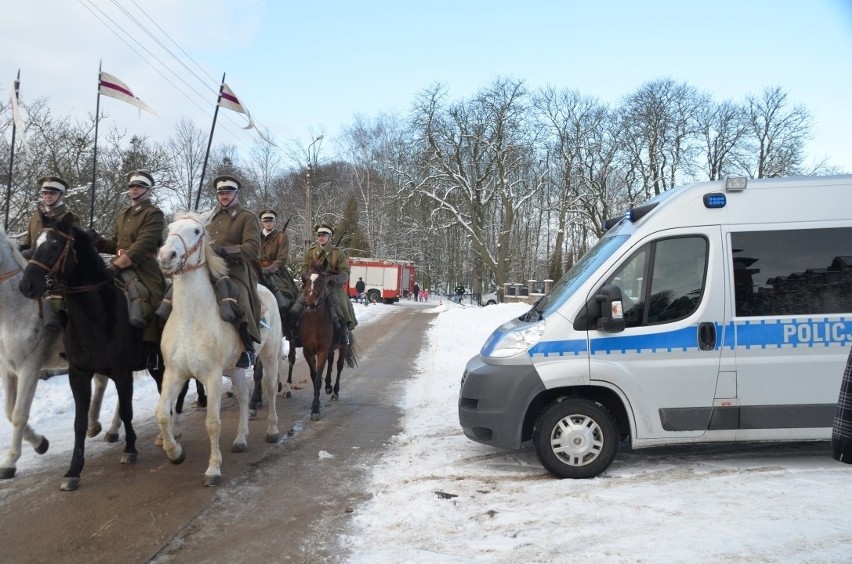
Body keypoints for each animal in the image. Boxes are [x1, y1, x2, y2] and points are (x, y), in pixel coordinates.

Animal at [19, 214, 148, 492]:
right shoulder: (78, 373)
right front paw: (73, 470)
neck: (95, 314)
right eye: (34, 244)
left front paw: (130, 448)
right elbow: (78, 423)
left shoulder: (122, 372)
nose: (26, 286)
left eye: (55, 245)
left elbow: (128, 410)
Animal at [156, 212, 282, 484]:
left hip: (269, 356)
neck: (191, 319)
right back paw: (241, 439)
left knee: (270, 389)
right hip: (236, 367)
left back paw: (272, 430)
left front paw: (213, 469)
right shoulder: (174, 374)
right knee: (244, 395)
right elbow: (162, 413)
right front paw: (175, 453)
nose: (166, 256)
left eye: (196, 231)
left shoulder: (212, 377)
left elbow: (213, 423)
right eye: (170, 227)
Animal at [300, 262, 356, 418]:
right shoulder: (308, 352)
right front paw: (316, 402)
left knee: (339, 365)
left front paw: (315, 409)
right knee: (331, 362)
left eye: (322, 281)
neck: (314, 322)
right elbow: (314, 377)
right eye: (306, 279)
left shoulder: (322, 351)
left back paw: (335, 390)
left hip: (342, 346)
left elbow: (318, 380)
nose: (310, 303)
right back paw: (329, 386)